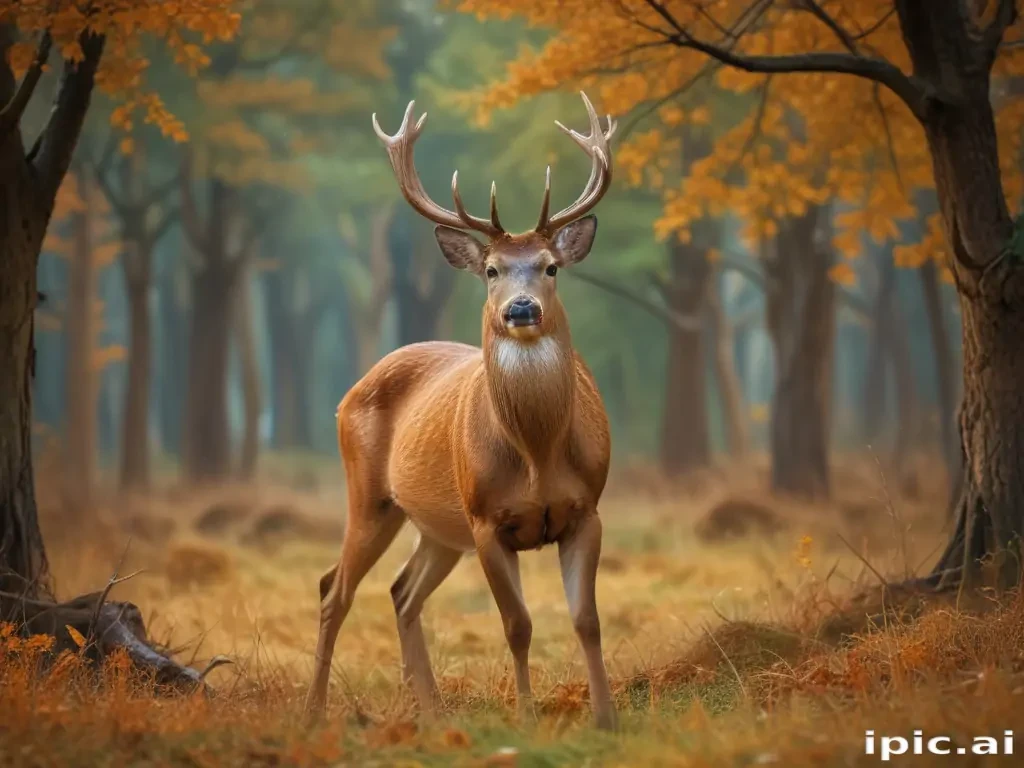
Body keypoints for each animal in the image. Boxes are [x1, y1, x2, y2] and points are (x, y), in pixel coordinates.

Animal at [304, 92, 618, 731]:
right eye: (492, 270)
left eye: (550, 266)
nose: (520, 309)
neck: (537, 455)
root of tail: (350, 391)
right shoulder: (486, 519)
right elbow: (517, 625)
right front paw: (526, 717)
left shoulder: (587, 508)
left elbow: (587, 620)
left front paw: (605, 718)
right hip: (372, 495)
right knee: (333, 589)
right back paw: (316, 711)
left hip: (437, 525)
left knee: (402, 592)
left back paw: (432, 712)